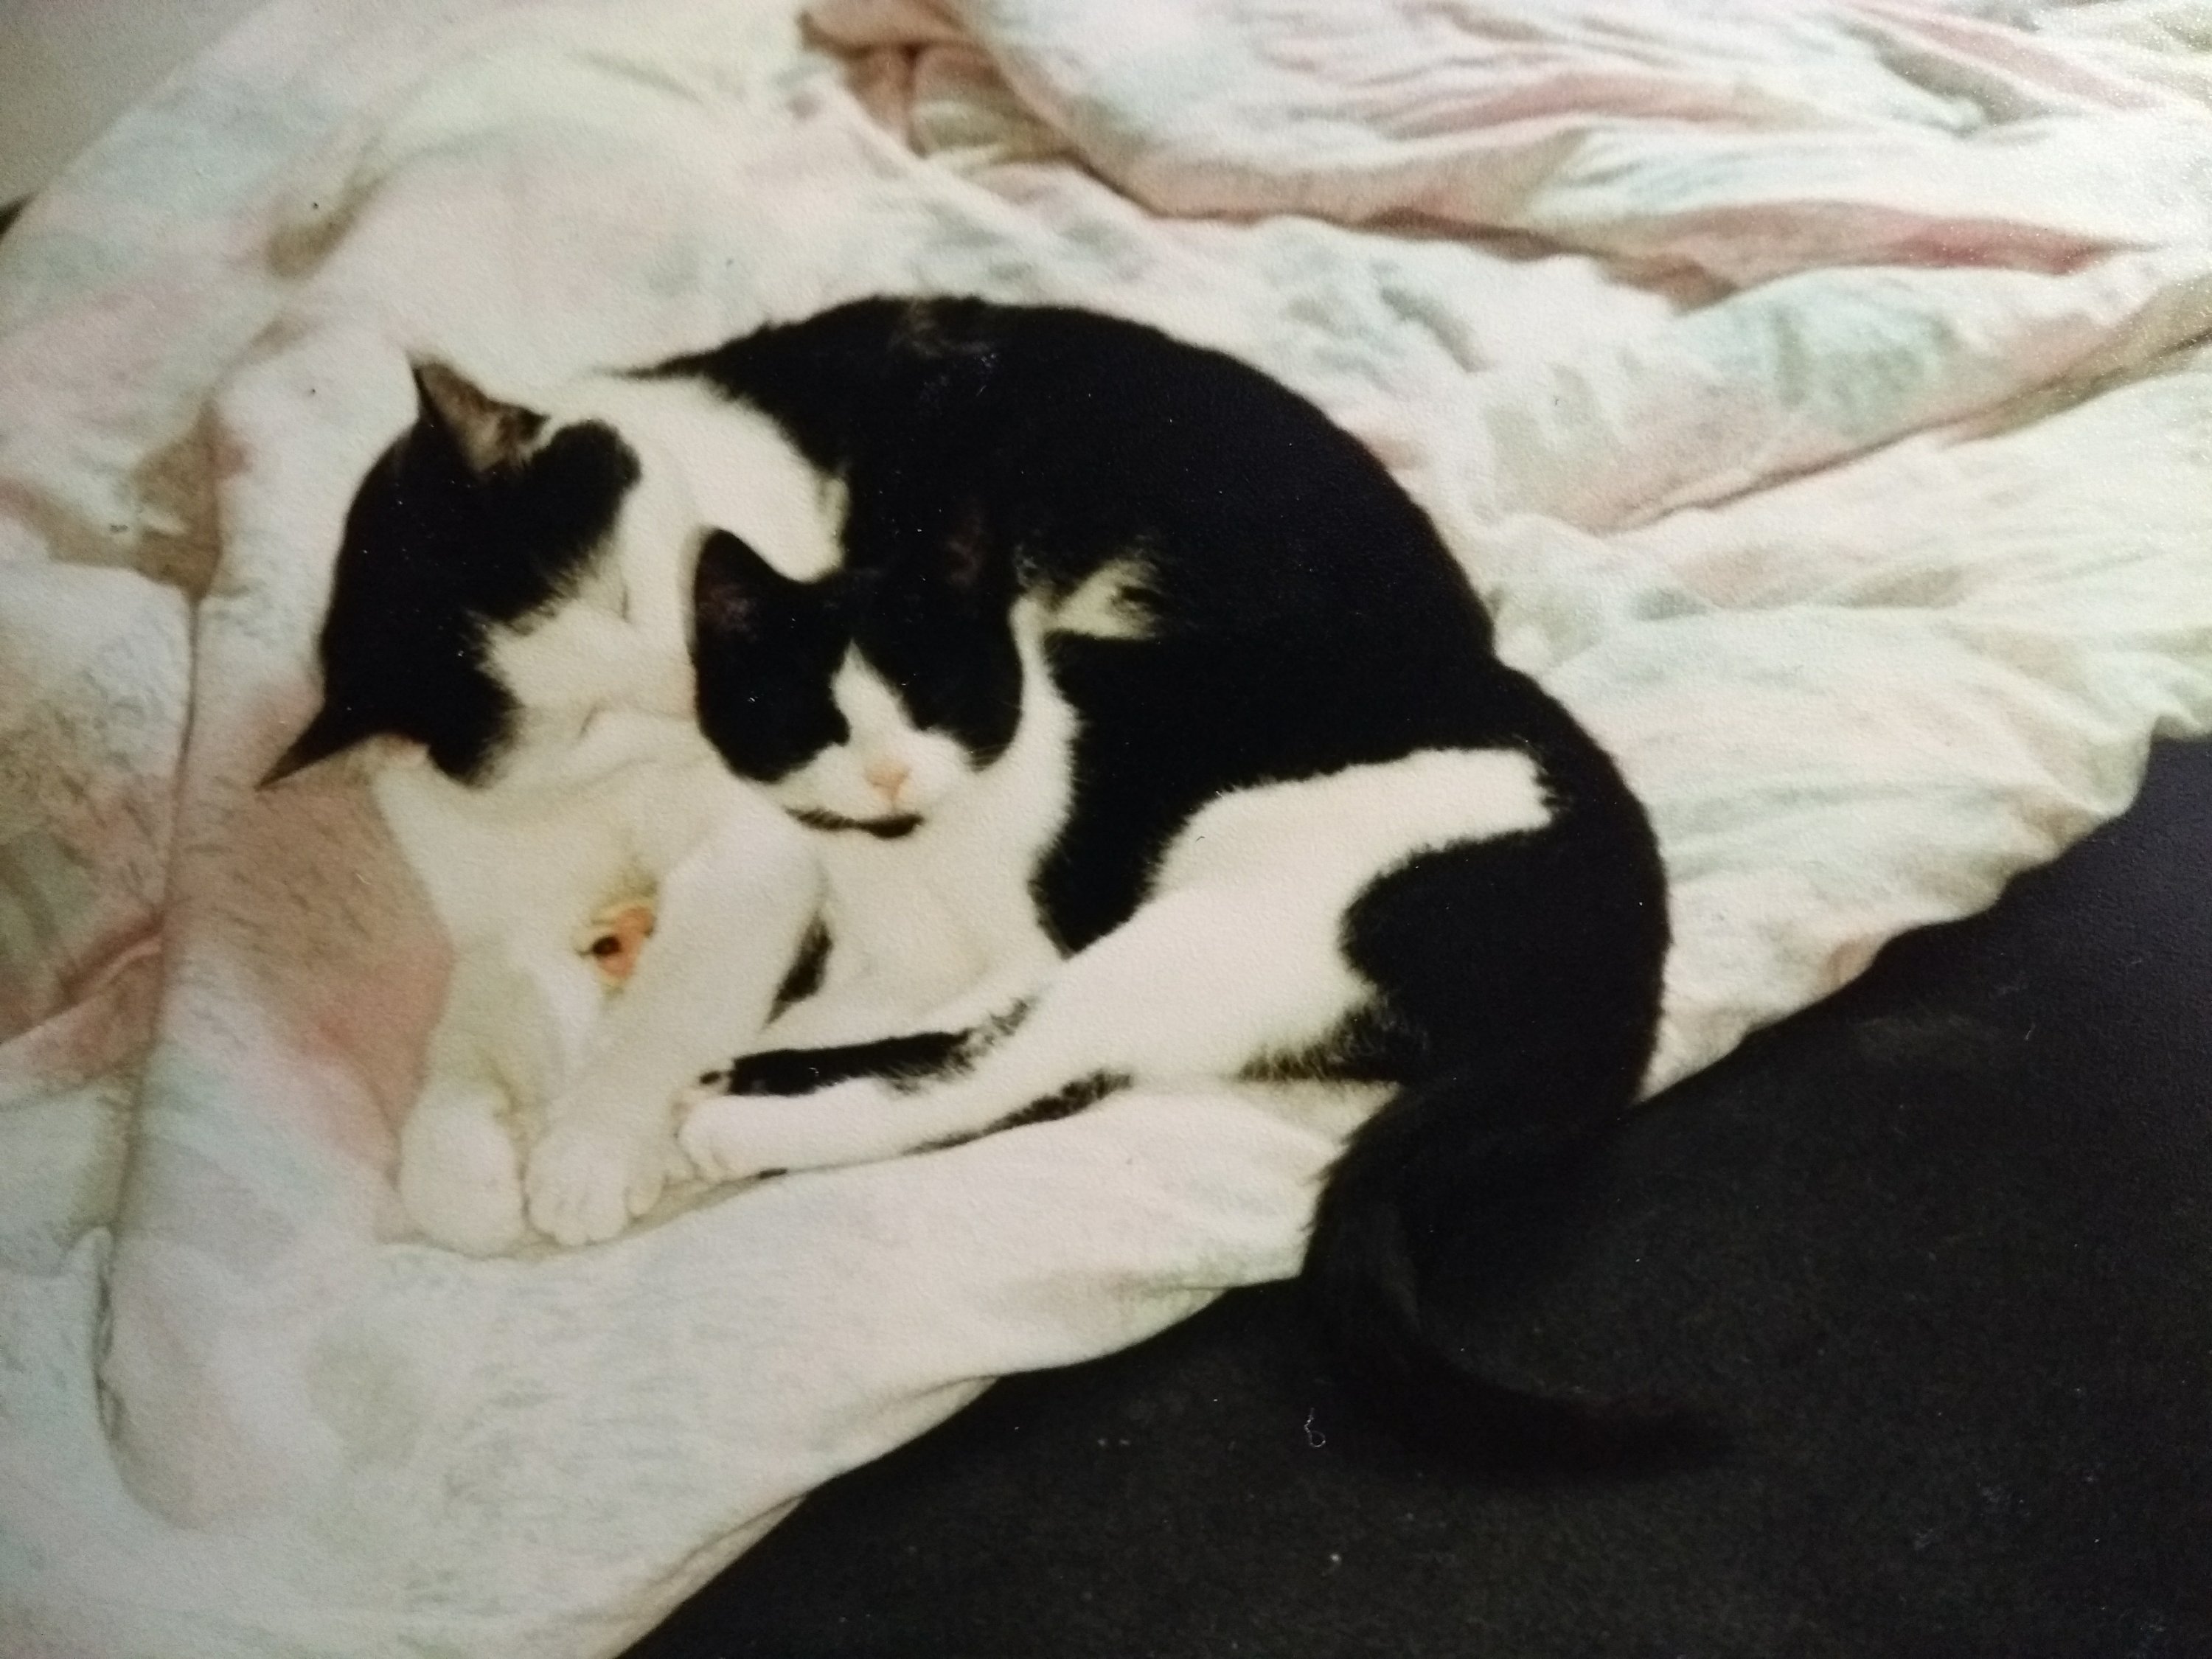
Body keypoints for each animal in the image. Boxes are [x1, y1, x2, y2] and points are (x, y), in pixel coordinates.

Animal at [266, 360, 820, 1252]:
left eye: (622, 597)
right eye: (583, 721)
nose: (697, 693)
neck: (606, 796)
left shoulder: (749, 847)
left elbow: (674, 999)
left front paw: (591, 1153)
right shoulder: (506, 911)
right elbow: (480, 1013)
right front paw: (458, 1163)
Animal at [651, 297, 1685, 1468]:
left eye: (930, 698)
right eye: (814, 718)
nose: (886, 773)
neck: (905, 855)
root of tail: (1622, 964)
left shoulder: (1035, 943)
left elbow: (966, 1028)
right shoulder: (888, 955)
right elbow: (843, 1009)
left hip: (1231, 906)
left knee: (1012, 1076)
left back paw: (744, 1123)